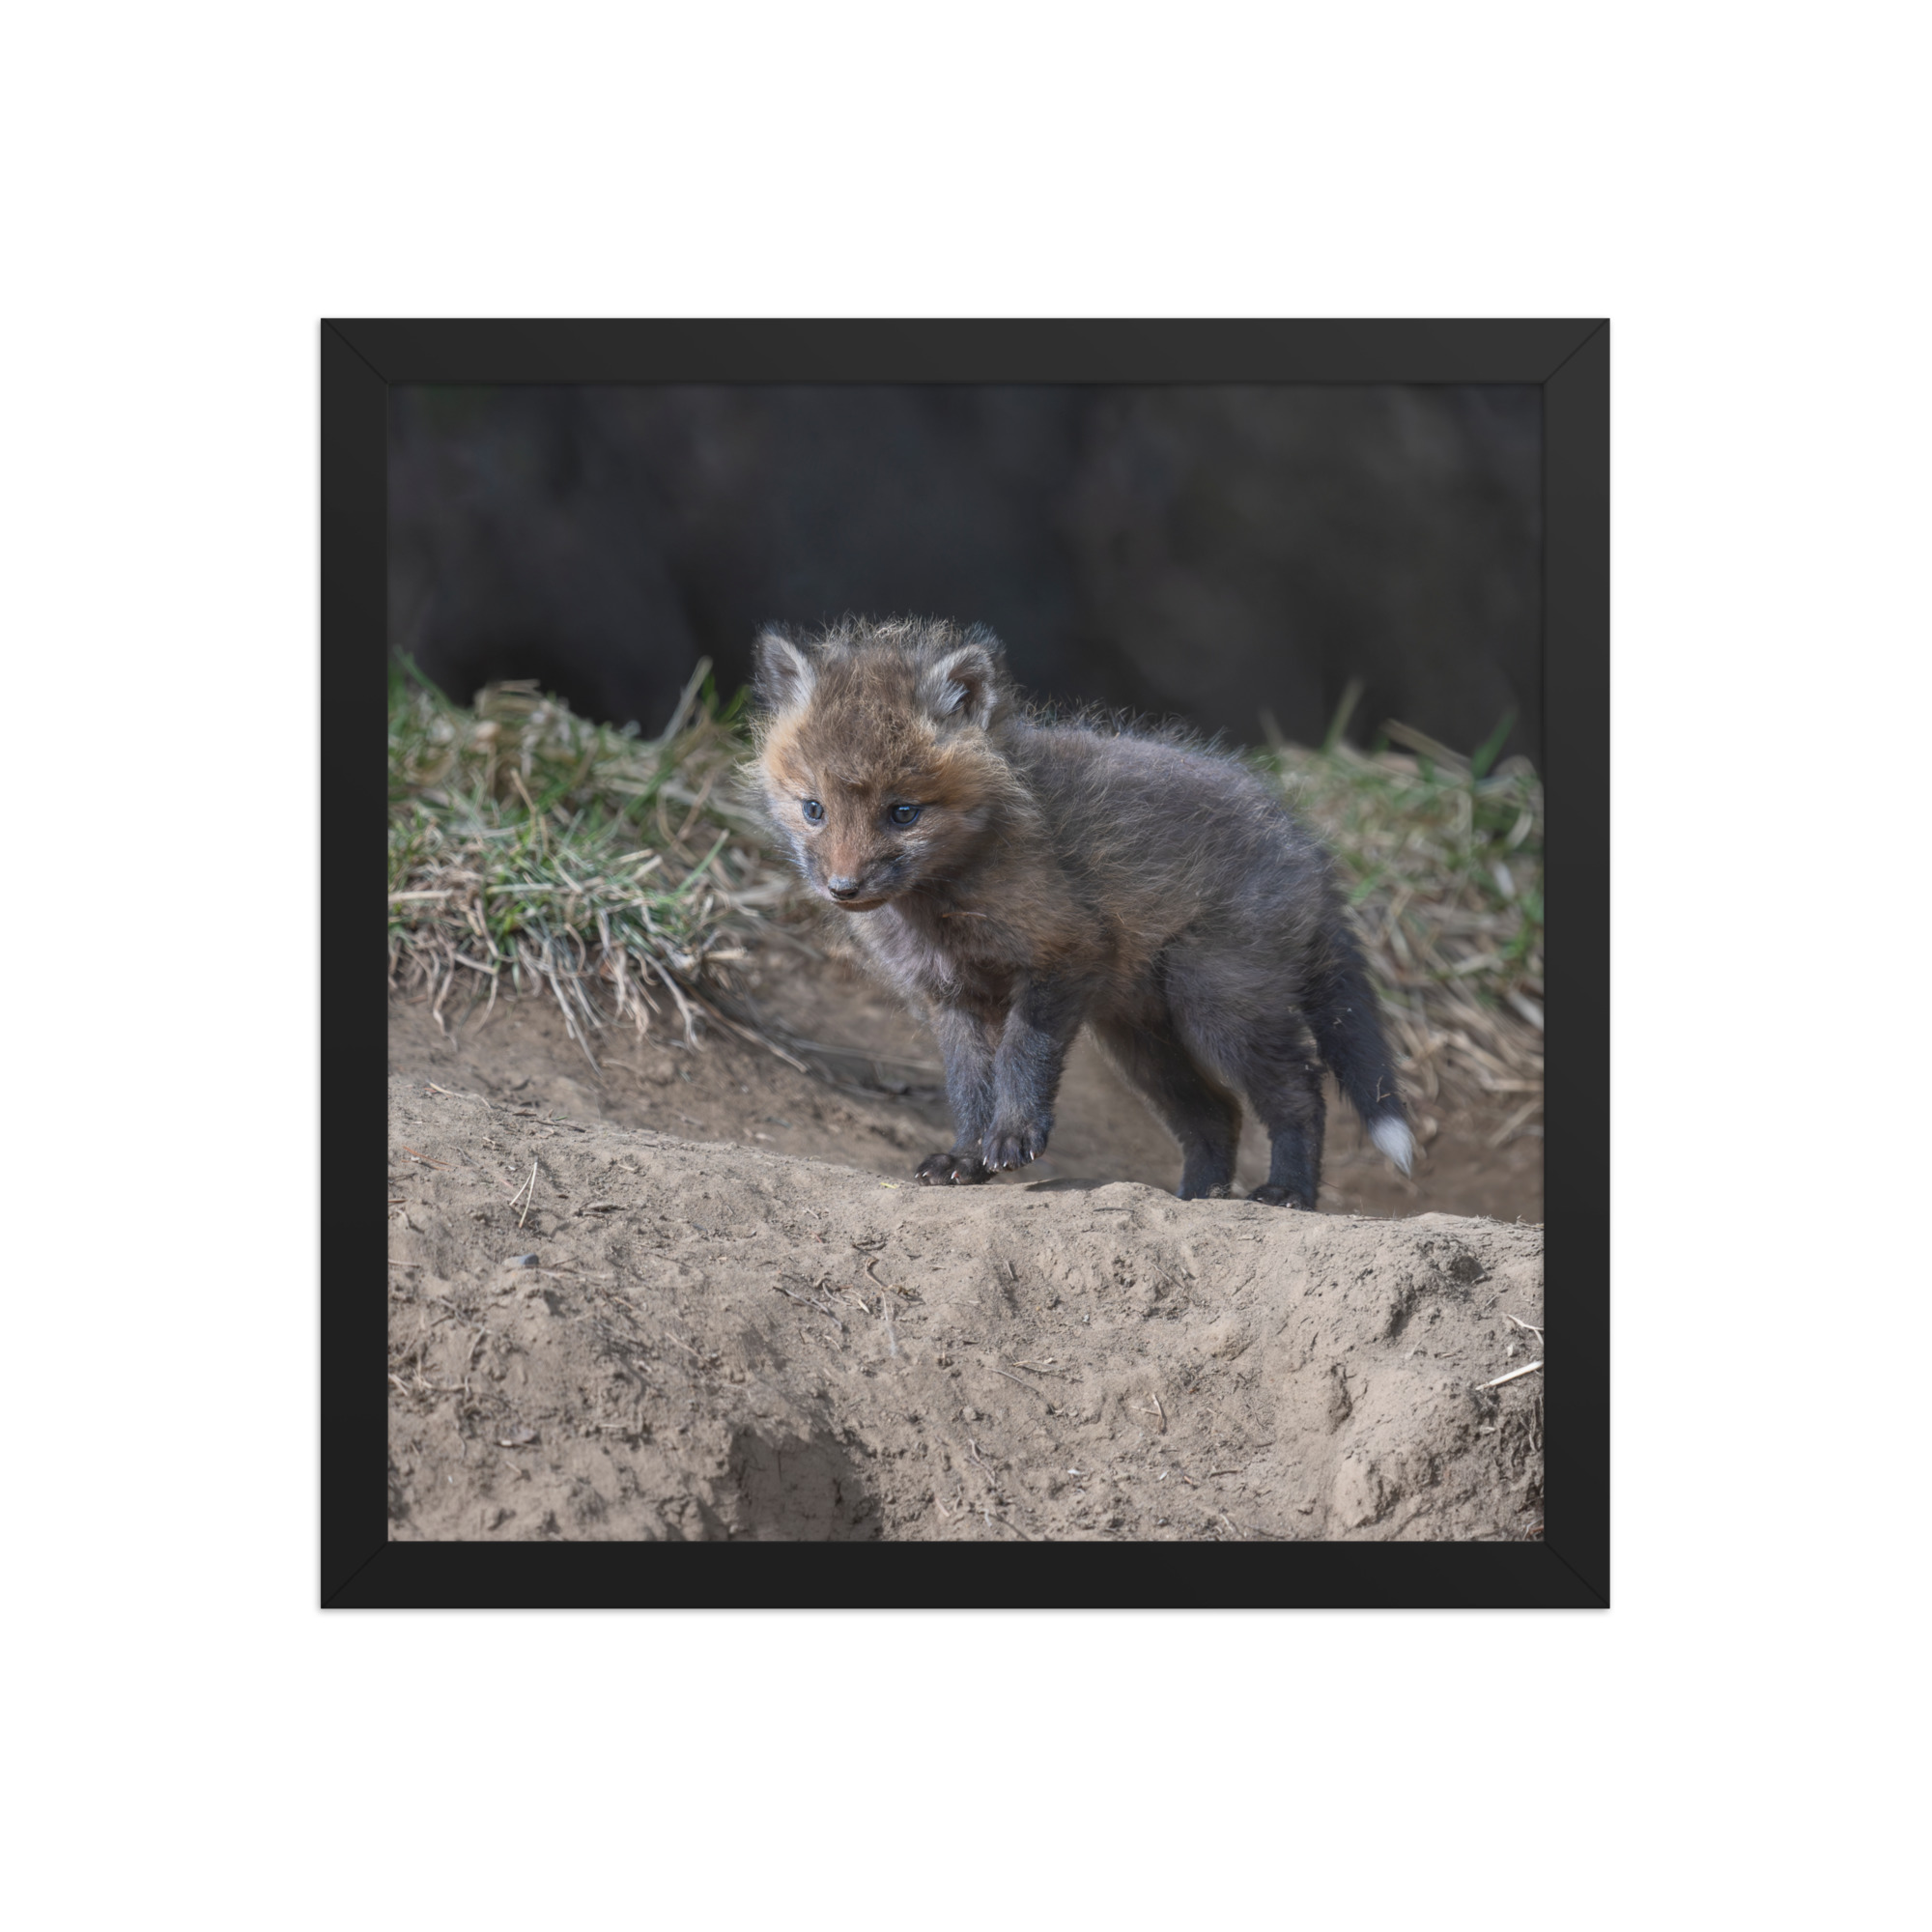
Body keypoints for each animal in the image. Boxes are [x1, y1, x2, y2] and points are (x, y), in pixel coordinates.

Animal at [749, 615, 1414, 1208]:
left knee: (1300, 1092)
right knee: (1217, 1114)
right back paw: (1197, 1198)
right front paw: (966, 1157)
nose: (843, 888)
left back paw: (1288, 1192)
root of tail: (1308, 847)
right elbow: (968, 1087)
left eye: (903, 813)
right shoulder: (951, 996)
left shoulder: (1064, 954)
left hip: (1217, 1005)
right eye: (814, 809)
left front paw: (1013, 1137)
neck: (943, 907)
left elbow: (1022, 1056)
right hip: (1140, 1038)